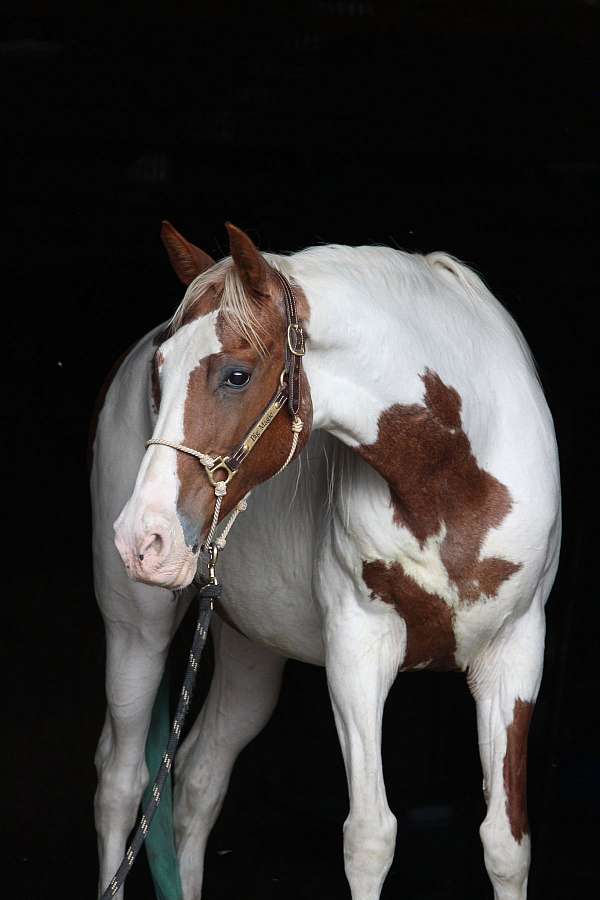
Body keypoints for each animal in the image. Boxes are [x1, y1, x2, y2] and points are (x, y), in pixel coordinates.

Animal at [90, 221, 561, 900]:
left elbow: (506, 842)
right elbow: (369, 840)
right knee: (121, 783)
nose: (141, 538)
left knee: (199, 781)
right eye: (161, 372)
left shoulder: (516, 650)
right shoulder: (358, 651)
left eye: (237, 375)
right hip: (136, 632)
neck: (450, 479)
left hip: (251, 647)